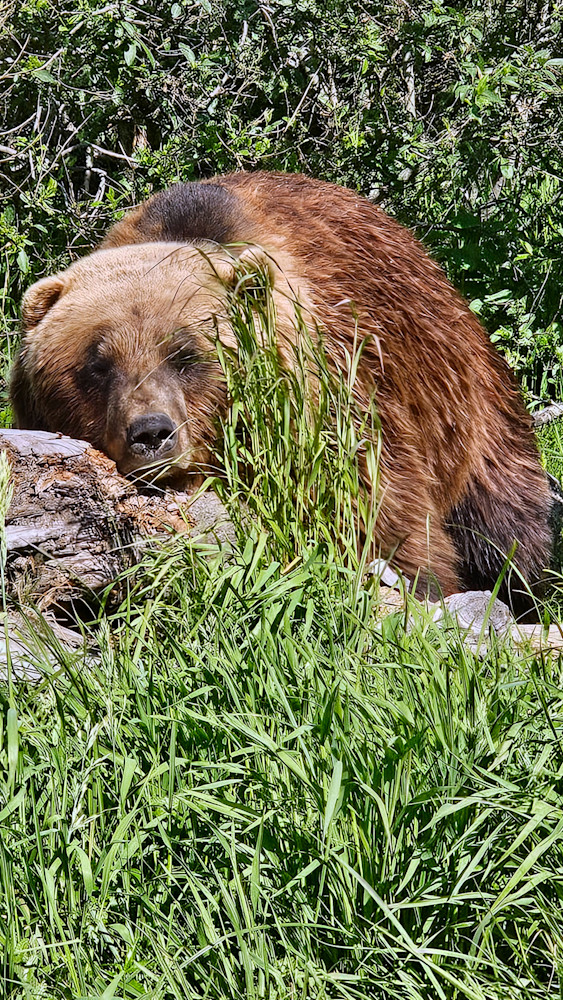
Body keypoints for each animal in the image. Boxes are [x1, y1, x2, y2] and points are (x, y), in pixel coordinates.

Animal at [10, 170, 553, 604]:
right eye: (98, 364)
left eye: (186, 355)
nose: (151, 433)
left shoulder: (338, 397)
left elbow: (376, 507)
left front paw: (419, 582)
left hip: (463, 390)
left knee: (506, 512)